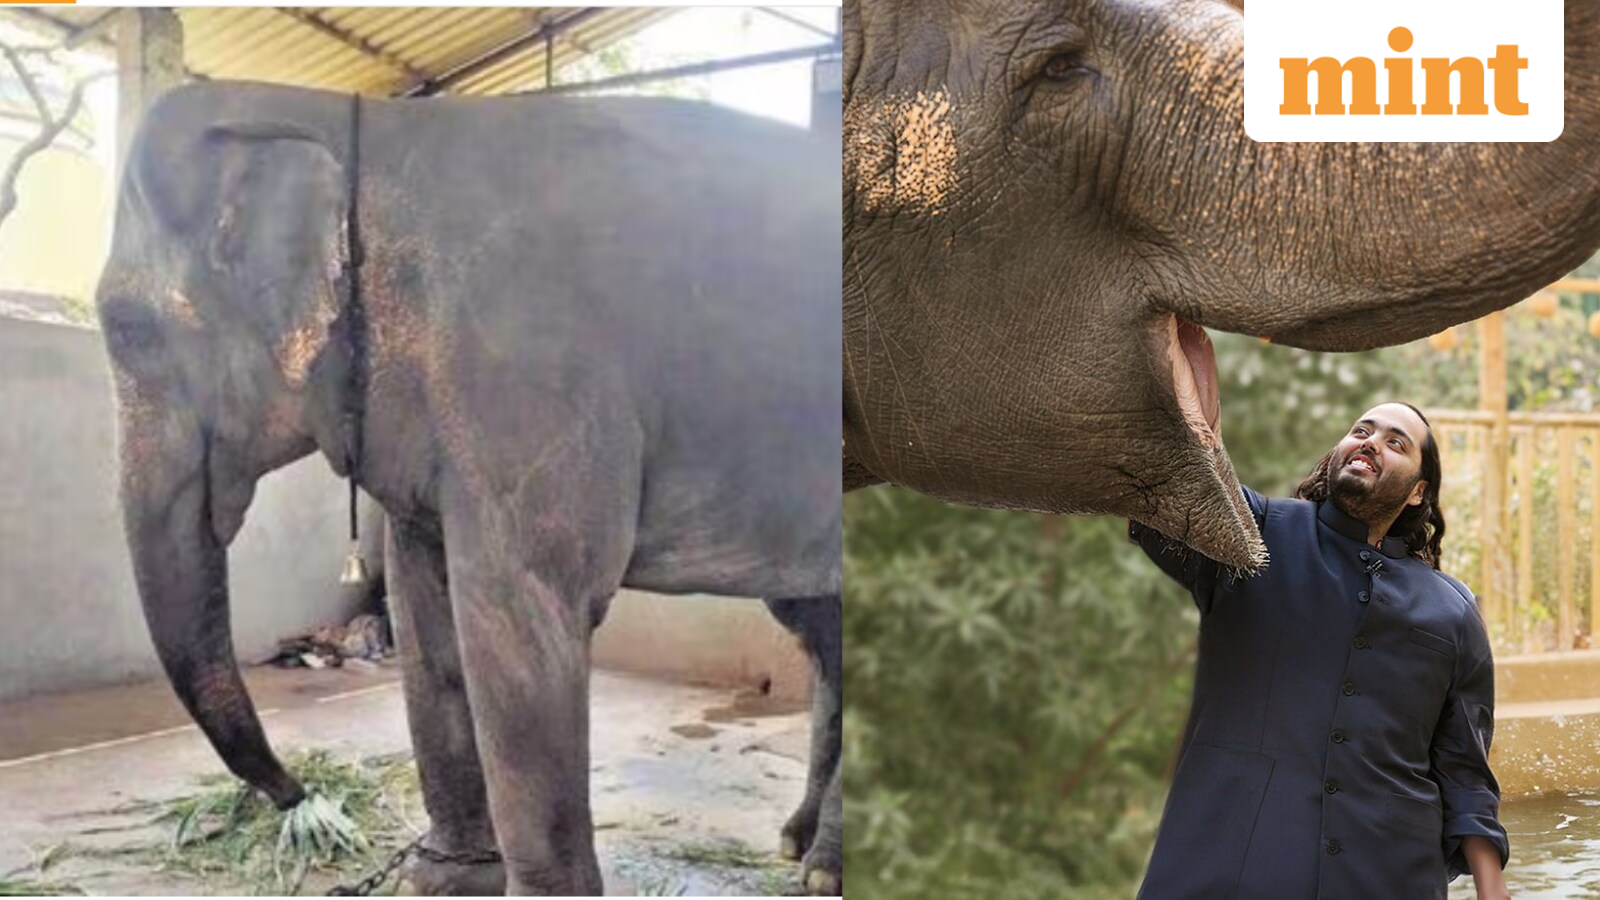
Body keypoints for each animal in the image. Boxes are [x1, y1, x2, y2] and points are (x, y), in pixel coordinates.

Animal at [96, 81, 841, 895]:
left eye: (128, 331)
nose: (299, 795)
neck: (354, 127)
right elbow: (423, 609)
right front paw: (440, 877)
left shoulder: (527, 370)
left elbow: (523, 606)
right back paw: (799, 846)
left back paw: (825, 865)